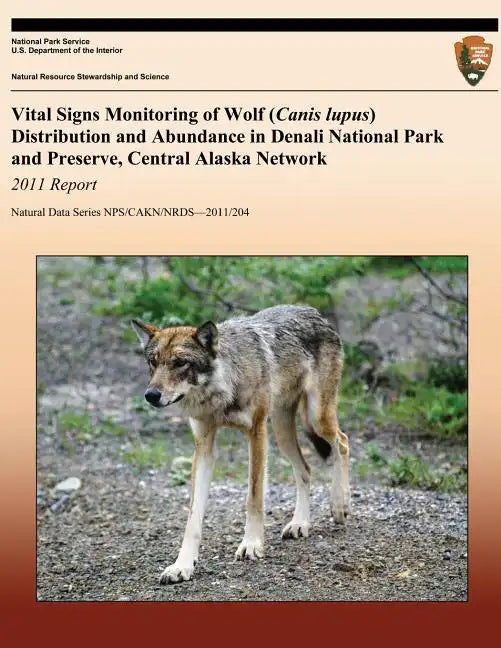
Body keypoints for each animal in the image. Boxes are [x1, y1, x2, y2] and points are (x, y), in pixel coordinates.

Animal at [132, 304, 350, 584]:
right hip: (282, 433)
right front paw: (182, 565)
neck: (221, 390)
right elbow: (193, 516)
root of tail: (313, 311)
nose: (151, 395)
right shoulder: (204, 447)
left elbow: (254, 497)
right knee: (305, 469)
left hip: (315, 418)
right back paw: (300, 523)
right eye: (153, 361)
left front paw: (252, 544)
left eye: (180, 362)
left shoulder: (256, 433)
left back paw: (340, 505)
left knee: (342, 442)